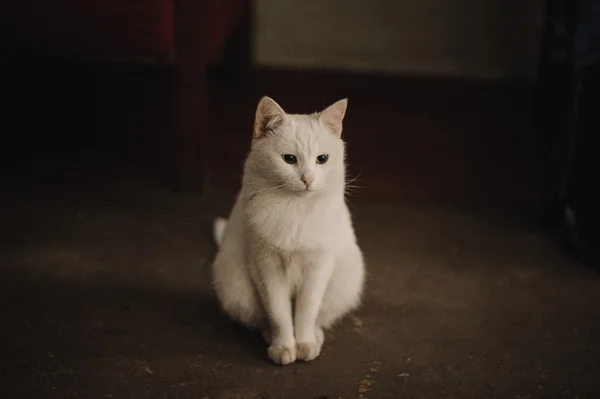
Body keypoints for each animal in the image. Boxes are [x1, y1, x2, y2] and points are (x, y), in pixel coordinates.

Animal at [212, 96, 366, 366]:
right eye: (289, 159)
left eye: (322, 159)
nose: (307, 179)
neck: (294, 208)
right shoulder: (267, 267)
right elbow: (279, 314)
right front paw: (284, 346)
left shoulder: (318, 267)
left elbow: (305, 312)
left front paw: (304, 343)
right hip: (235, 286)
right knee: (263, 319)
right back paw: (272, 338)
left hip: (345, 279)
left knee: (319, 317)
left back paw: (315, 337)